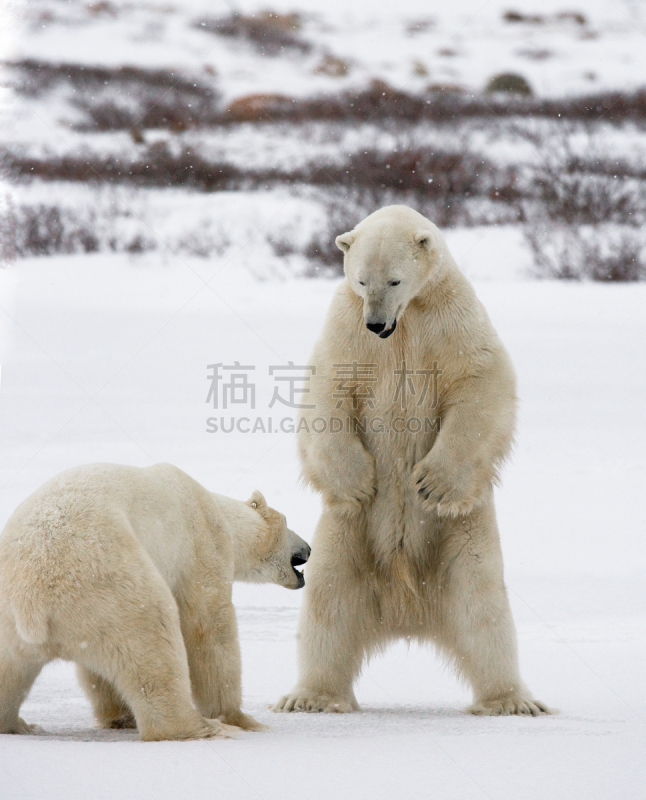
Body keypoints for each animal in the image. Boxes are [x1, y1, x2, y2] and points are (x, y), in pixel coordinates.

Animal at [0, 466, 312, 740]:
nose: (308, 548)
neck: (217, 509)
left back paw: (19, 724)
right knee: (153, 644)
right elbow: (208, 626)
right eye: (288, 523)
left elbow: (97, 674)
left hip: (12, 620)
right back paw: (202, 727)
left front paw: (120, 716)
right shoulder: (203, 544)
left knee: (10, 672)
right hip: (108, 587)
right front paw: (240, 718)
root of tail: (31, 598)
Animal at [274, 206, 552, 720]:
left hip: (462, 535)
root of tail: (407, 611)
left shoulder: (453, 319)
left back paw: (512, 701)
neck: (406, 323)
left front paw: (431, 482)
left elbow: (480, 380)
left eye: (396, 280)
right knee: (328, 605)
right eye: (361, 280)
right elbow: (327, 390)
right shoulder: (346, 328)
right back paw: (310, 697)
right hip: (346, 534)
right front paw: (359, 480)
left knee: (484, 610)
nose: (376, 323)